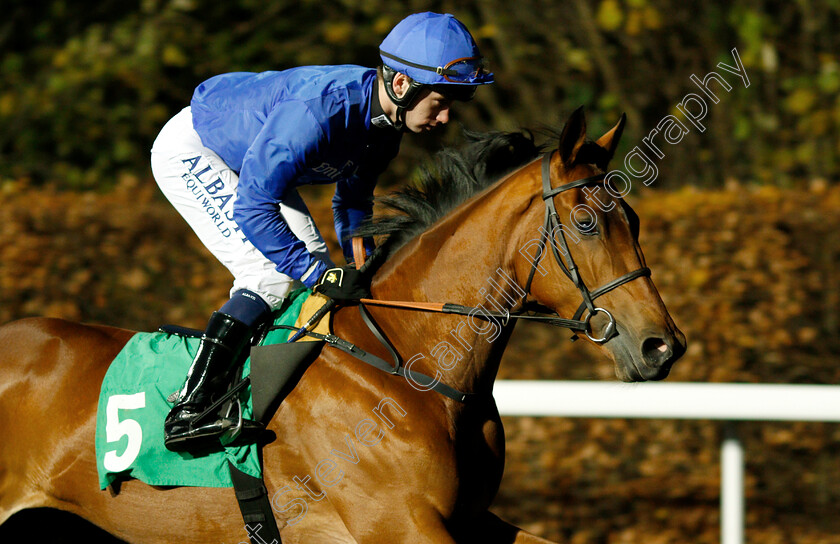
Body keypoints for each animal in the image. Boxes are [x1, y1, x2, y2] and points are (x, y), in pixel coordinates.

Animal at [0, 108, 684, 540]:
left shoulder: (468, 521)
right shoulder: (395, 522)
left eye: (634, 220)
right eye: (587, 222)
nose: (662, 345)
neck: (411, 369)